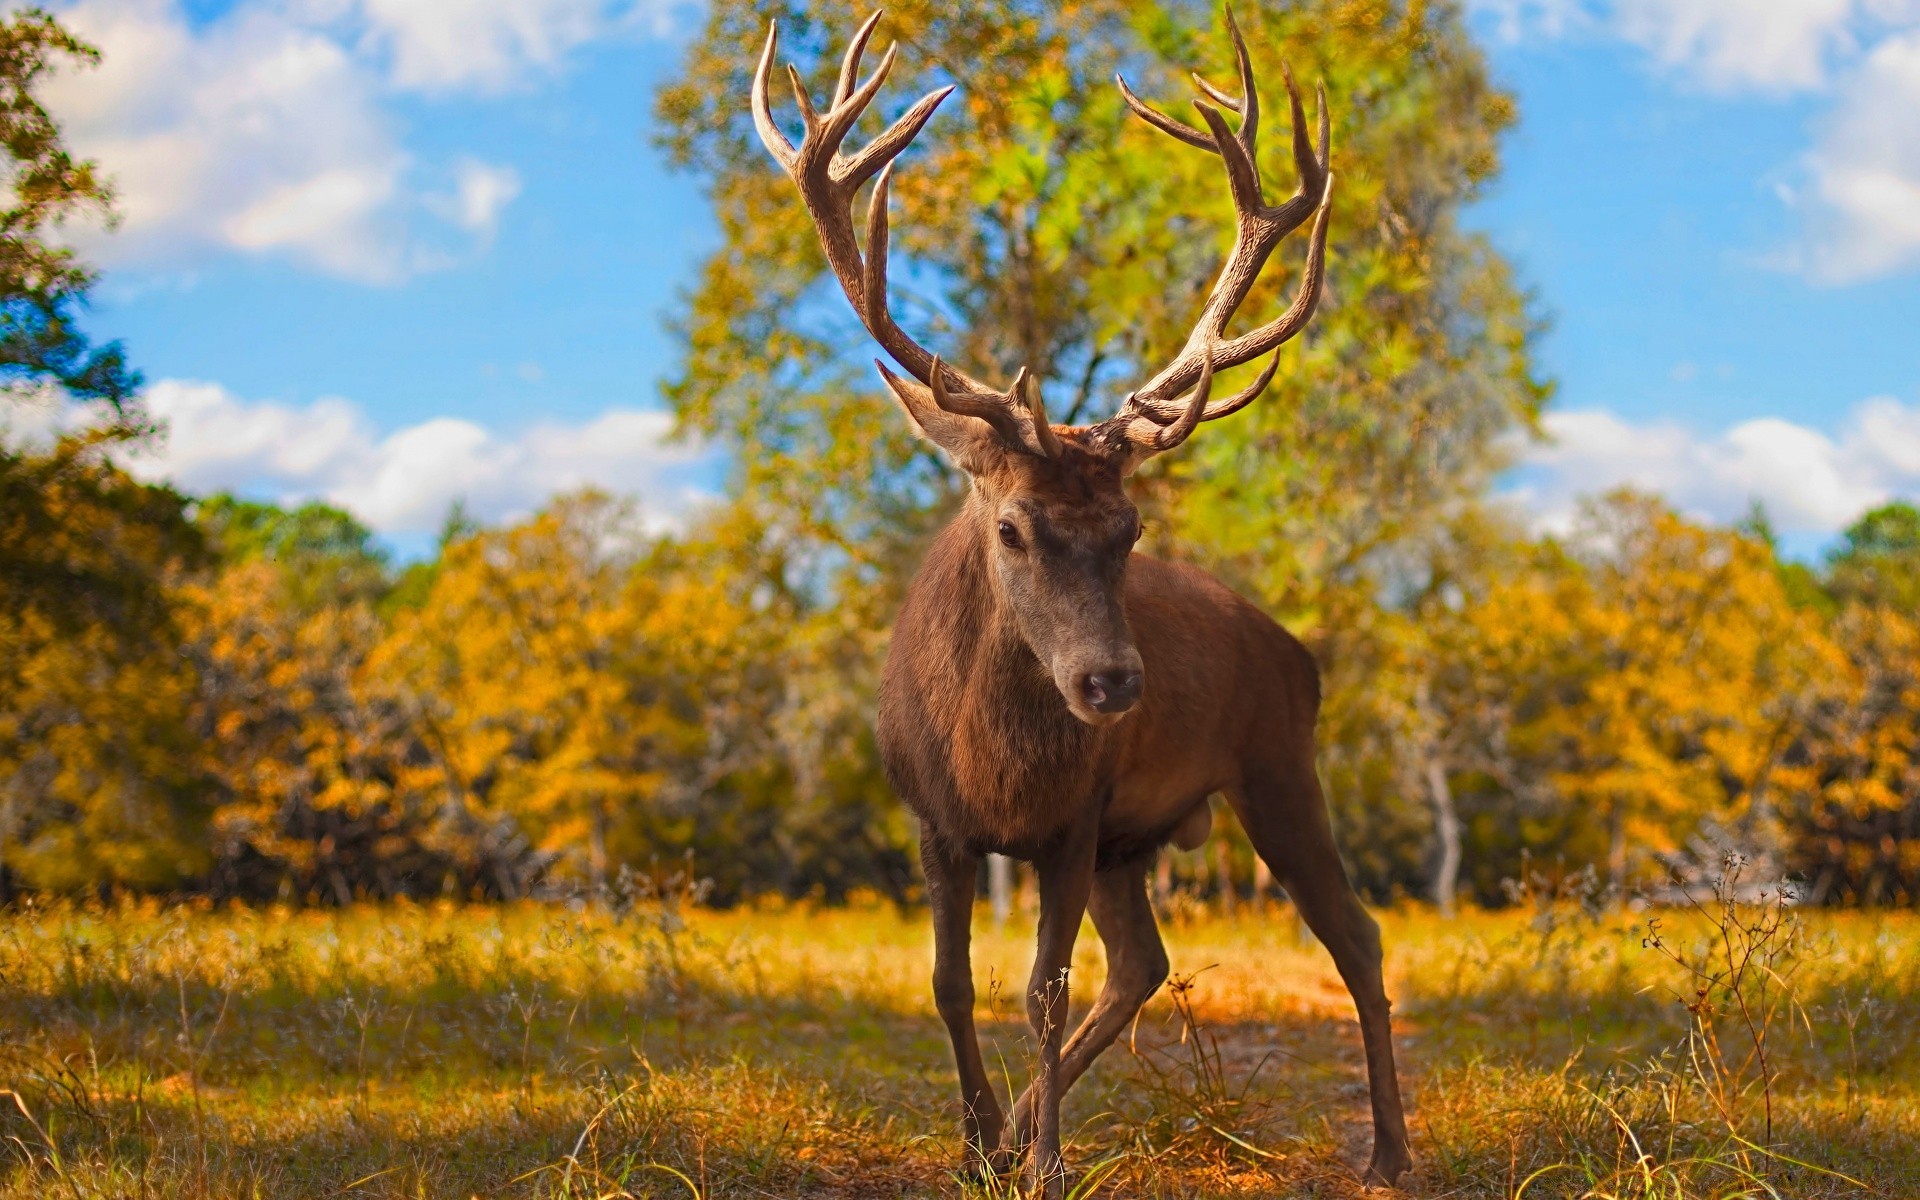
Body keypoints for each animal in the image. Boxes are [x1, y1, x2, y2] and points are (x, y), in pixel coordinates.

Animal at [748, 7, 1413, 1190]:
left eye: (1130, 530)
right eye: (1013, 526)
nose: (1112, 685)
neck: (994, 768)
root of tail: (1299, 653)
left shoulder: (1074, 819)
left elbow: (1042, 994)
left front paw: (1047, 1164)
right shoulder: (934, 818)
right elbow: (949, 984)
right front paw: (979, 1146)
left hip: (1275, 766)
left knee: (1355, 934)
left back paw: (1386, 1151)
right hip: (1137, 841)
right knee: (1144, 962)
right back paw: (1017, 1129)